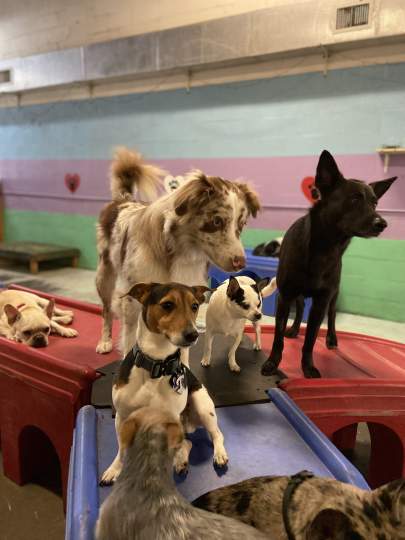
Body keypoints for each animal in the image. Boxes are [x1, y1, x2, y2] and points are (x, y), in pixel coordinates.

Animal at [100, 282, 229, 486]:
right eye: (167, 305)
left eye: (194, 306)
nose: (193, 334)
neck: (156, 362)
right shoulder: (122, 416)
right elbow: (122, 448)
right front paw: (115, 469)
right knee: (187, 443)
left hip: (203, 408)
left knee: (216, 435)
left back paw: (217, 455)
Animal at [260, 151, 396, 380]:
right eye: (354, 199)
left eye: (375, 203)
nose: (382, 224)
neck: (324, 248)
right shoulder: (285, 296)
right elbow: (278, 336)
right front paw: (272, 362)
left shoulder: (321, 302)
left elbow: (310, 339)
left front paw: (307, 367)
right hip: (297, 295)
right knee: (300, 307)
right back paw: (294, 329)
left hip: (334, 294)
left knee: (331, 315)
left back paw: (331, 338)